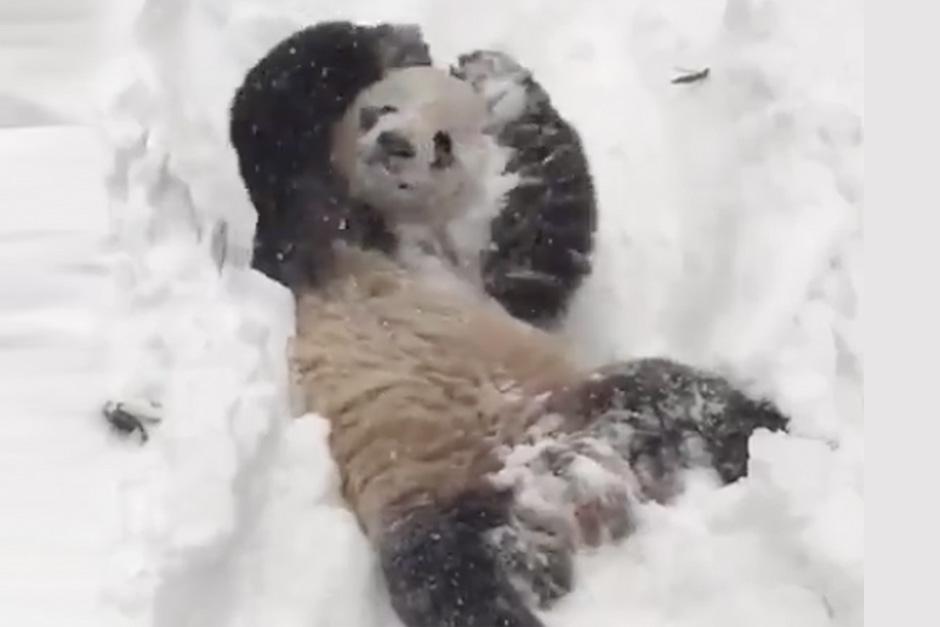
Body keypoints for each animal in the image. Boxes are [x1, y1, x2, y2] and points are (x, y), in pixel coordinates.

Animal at [228, 21, 789, 627]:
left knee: (700, 403)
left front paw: (491, 75)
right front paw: (395, 41)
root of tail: (567, 491)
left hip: (594, 404)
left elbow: (546, 243)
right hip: (430, 492)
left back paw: (788, 439)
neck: (396, 225)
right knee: (450, 577)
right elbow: (270, 110)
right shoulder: (304, 233)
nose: (395, 145)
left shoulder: (494, 286)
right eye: (380, 109)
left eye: (443, 144)